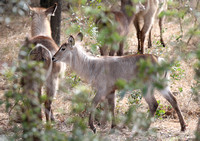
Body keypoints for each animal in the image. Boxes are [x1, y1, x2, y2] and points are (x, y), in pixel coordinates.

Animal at [51, 33, 186, 133]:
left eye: (63, 48)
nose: (53, 58)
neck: (91, 66)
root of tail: (159, 59)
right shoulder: (111, 90)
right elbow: (112, 106)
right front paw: (113, 126)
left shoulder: (102, 89)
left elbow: (93, 103)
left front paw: (93, 127)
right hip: (163, 85)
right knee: (173, 100)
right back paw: (183, 127)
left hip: (147, 87)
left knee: (153, 104)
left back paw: (145, 128)